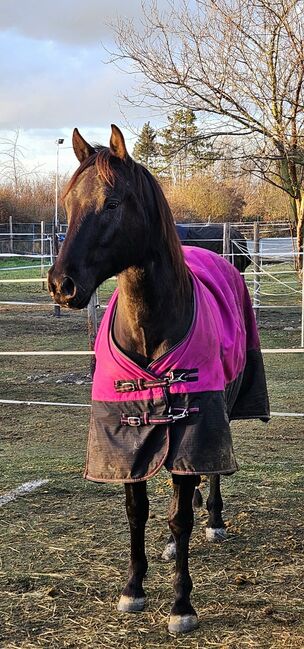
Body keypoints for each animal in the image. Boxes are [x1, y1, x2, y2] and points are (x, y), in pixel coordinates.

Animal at [47, 126, 268, 632]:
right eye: (67, 203)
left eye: (111, 202)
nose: (61, 285)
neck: (150, 330)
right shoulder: (127, 436)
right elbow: (137, 512)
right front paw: (133, 588)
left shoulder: (195, 424)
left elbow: (182, 516)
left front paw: (182, 605)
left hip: (220, 411)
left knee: (209, 478)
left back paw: (215, 520)